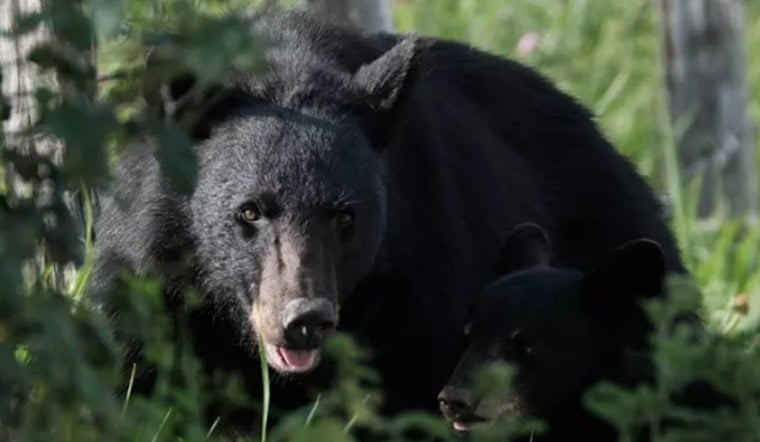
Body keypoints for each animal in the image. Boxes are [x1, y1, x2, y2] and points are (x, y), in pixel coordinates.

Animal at [89, 9, 686, 427]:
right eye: (250, 211)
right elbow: (137, 385)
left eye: (345, 216)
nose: (304, 320)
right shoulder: (148, 278)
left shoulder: (419, 287)